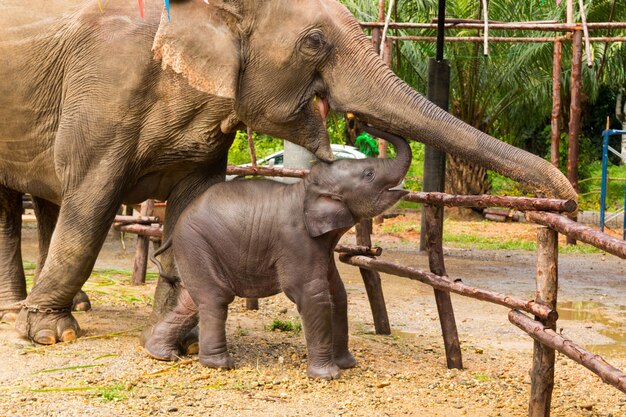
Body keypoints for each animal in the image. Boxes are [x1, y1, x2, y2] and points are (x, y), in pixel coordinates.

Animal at [1, 0, 576, 344]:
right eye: (315, 41)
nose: (569, 202)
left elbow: (192, 203)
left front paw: (179, 332)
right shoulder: (104, 92)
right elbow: (91, 202)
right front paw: (51, 335)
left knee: (45, 200)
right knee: (20, 205)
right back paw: (20, 310)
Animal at [146, 126, 410, 376]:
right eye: (369, 175)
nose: (362, 123)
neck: (305, 188)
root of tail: (174, 228)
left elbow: (337, 292)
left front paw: (347, 365)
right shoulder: (296, 241)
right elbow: (311, 294)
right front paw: (328, 376)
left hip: (194, 249)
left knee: (192, 301)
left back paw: (159, 354)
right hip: (197, 243)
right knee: (215, 297)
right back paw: (219, 365)